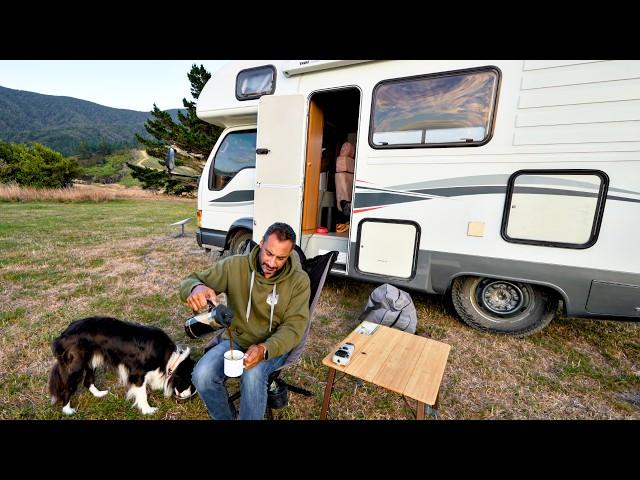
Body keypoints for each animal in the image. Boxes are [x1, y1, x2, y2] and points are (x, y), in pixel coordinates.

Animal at [48, 316, 195, 414]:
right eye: (189, 382)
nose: (191, 396)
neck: (171, 359)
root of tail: (62, 336)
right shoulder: (137, 373)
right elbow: (142, 393)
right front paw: (148, 410)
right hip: (75, 366)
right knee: (67, 388)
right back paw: (67, 410)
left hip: (91, 360)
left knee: (88, 381)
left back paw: (99, 394)